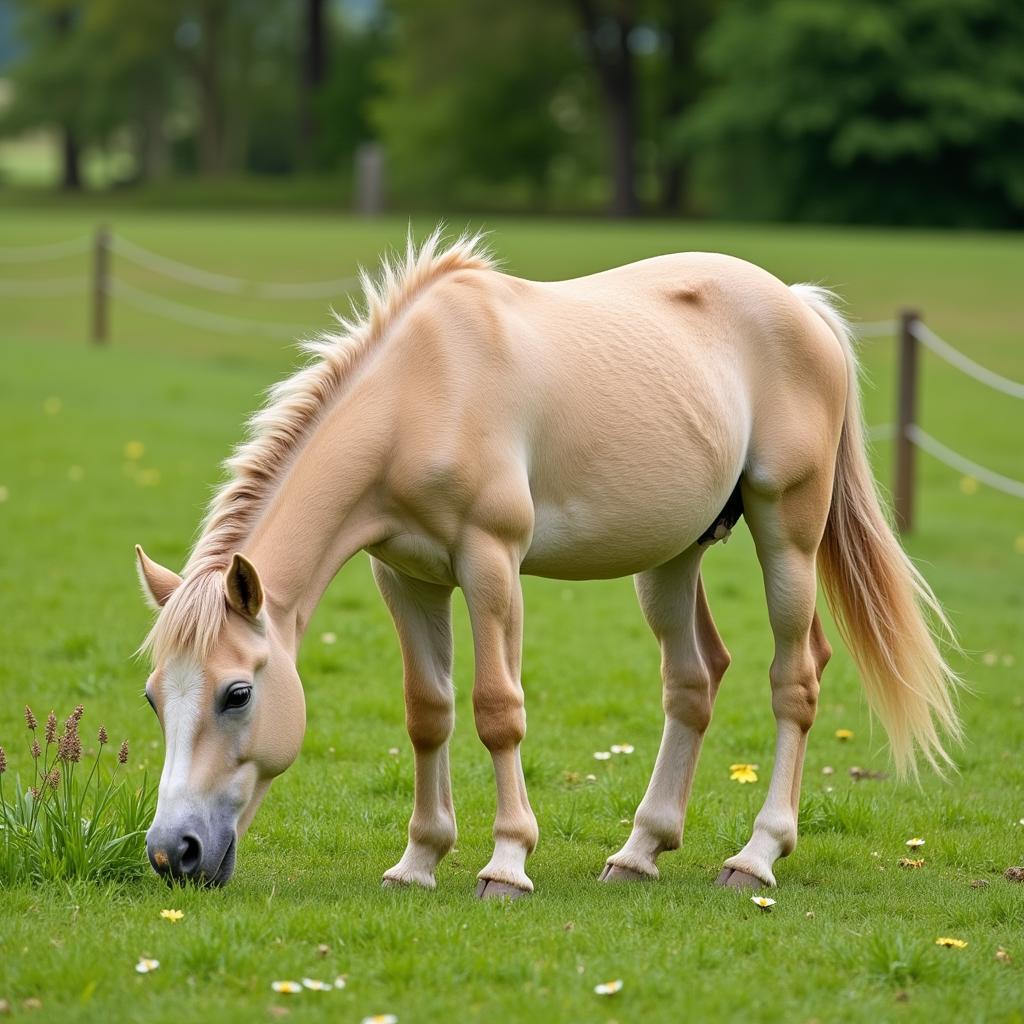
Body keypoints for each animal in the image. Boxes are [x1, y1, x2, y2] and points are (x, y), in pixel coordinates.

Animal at [136, 232, 958, 897]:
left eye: (238, 694)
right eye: (152, 698)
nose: (174, 853)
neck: (423, 393)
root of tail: (799, 305)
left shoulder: (491, 563)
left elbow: (497, 710)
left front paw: (506, 864)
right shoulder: (406, 578)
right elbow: (428, 713)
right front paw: (418, 861)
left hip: (787, 532)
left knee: (797, 677)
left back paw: (756, 857)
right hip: (673, 556)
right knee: (694, 681)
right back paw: (639, 851)